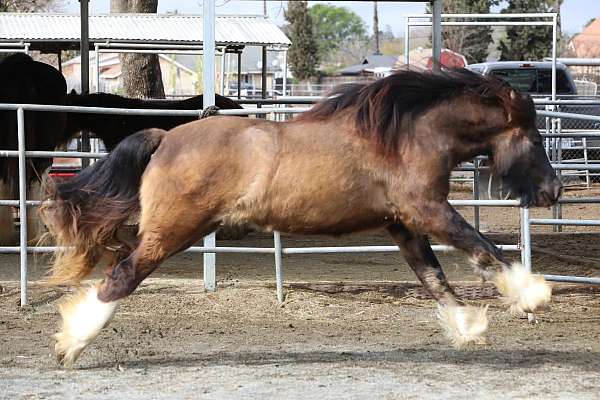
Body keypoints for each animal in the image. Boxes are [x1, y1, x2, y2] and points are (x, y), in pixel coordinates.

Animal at [42, 67, 564, 368]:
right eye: (536, 137)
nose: (553, 190)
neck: (403, 136)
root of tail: (165, 138)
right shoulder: (428, 211)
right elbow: (483, 249)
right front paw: (533, 295)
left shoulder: (402, 224)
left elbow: (434, 278)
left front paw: (469, 327)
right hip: (173, 232)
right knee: (120, 278)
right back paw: (70, 345)